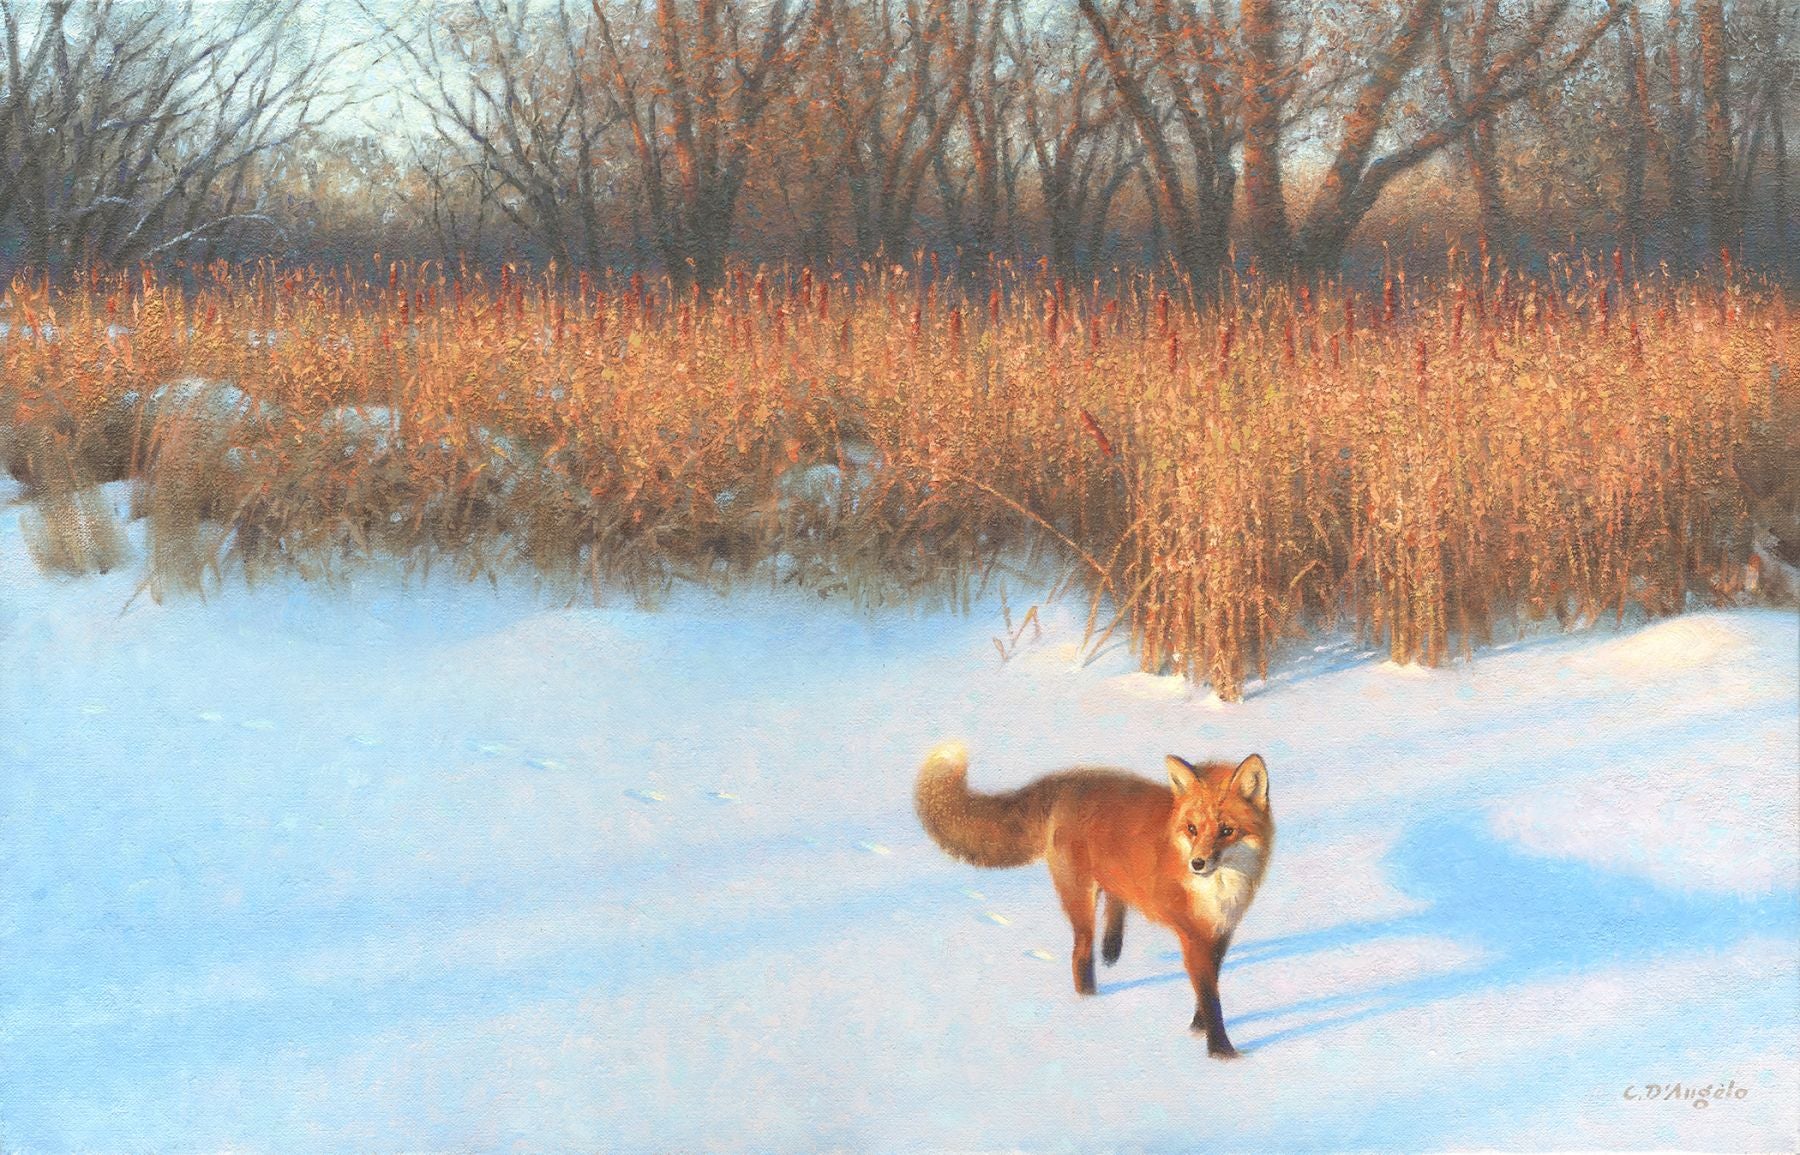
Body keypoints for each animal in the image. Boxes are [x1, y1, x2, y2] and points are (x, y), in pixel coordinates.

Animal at [915, 742, 1273, 1058]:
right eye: (1192, 828)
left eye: (1226, 831)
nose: (1197, 864)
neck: (1221, 887)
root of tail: (1073, 778)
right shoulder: (1193, 933)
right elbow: (1210, 996)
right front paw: (1221, 1052)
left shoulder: (1221, 931)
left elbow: (1209, 985)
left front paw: (1198, 1028)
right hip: (1080, 899)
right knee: (1080, 955)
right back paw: (1089, 1004)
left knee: (1115, 901)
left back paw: (1111, 949)